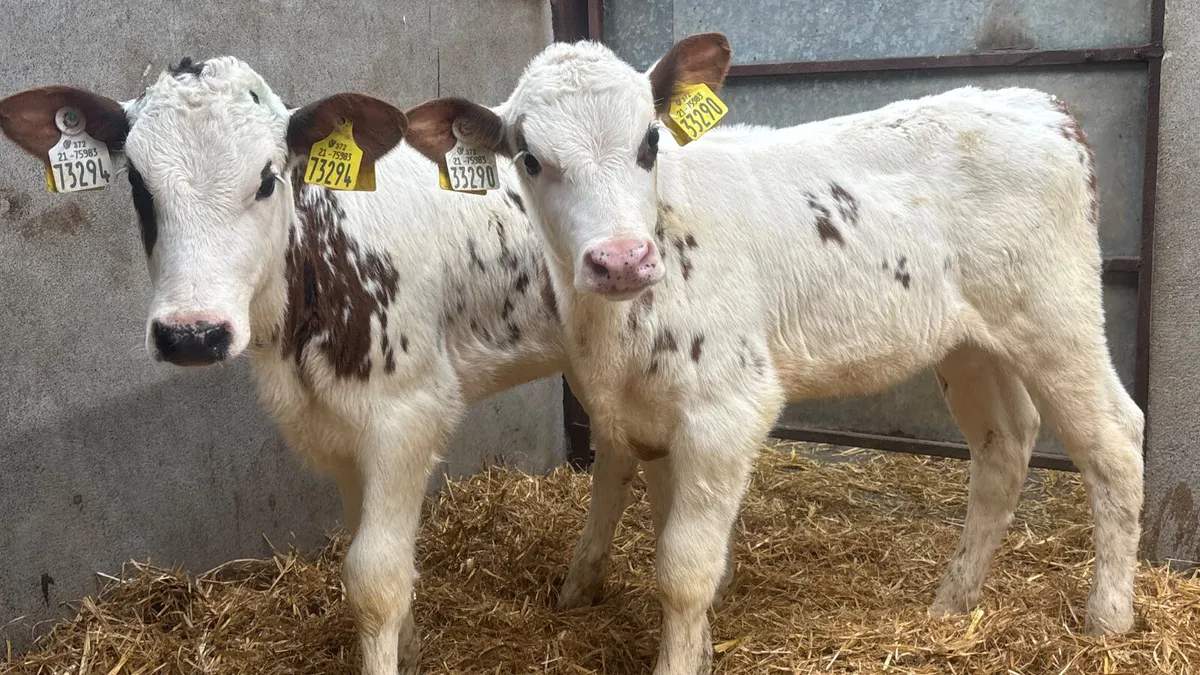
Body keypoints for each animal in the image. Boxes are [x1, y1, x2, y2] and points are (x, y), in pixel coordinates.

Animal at [0, 58, 570, 675]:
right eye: (137, 184)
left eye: (267, 180)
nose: (192, 334)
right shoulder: (337, 426)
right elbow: (372, 555)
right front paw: (411, 651)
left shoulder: (409, 414)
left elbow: (375, 580)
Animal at [404, 33, 1146, 674]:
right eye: (529, 158)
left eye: (650, 140)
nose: (621, 259)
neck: (614, 333)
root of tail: (1039, 104)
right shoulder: (649, 415)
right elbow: (669, 537)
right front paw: (700, 641)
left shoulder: (727, 406)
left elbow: (683, 568)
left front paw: (681, 660)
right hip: (970, 341)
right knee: (1005, 443)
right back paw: (953, 600)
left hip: (1058, 314)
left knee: (1115, 438)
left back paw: (1108, 618)